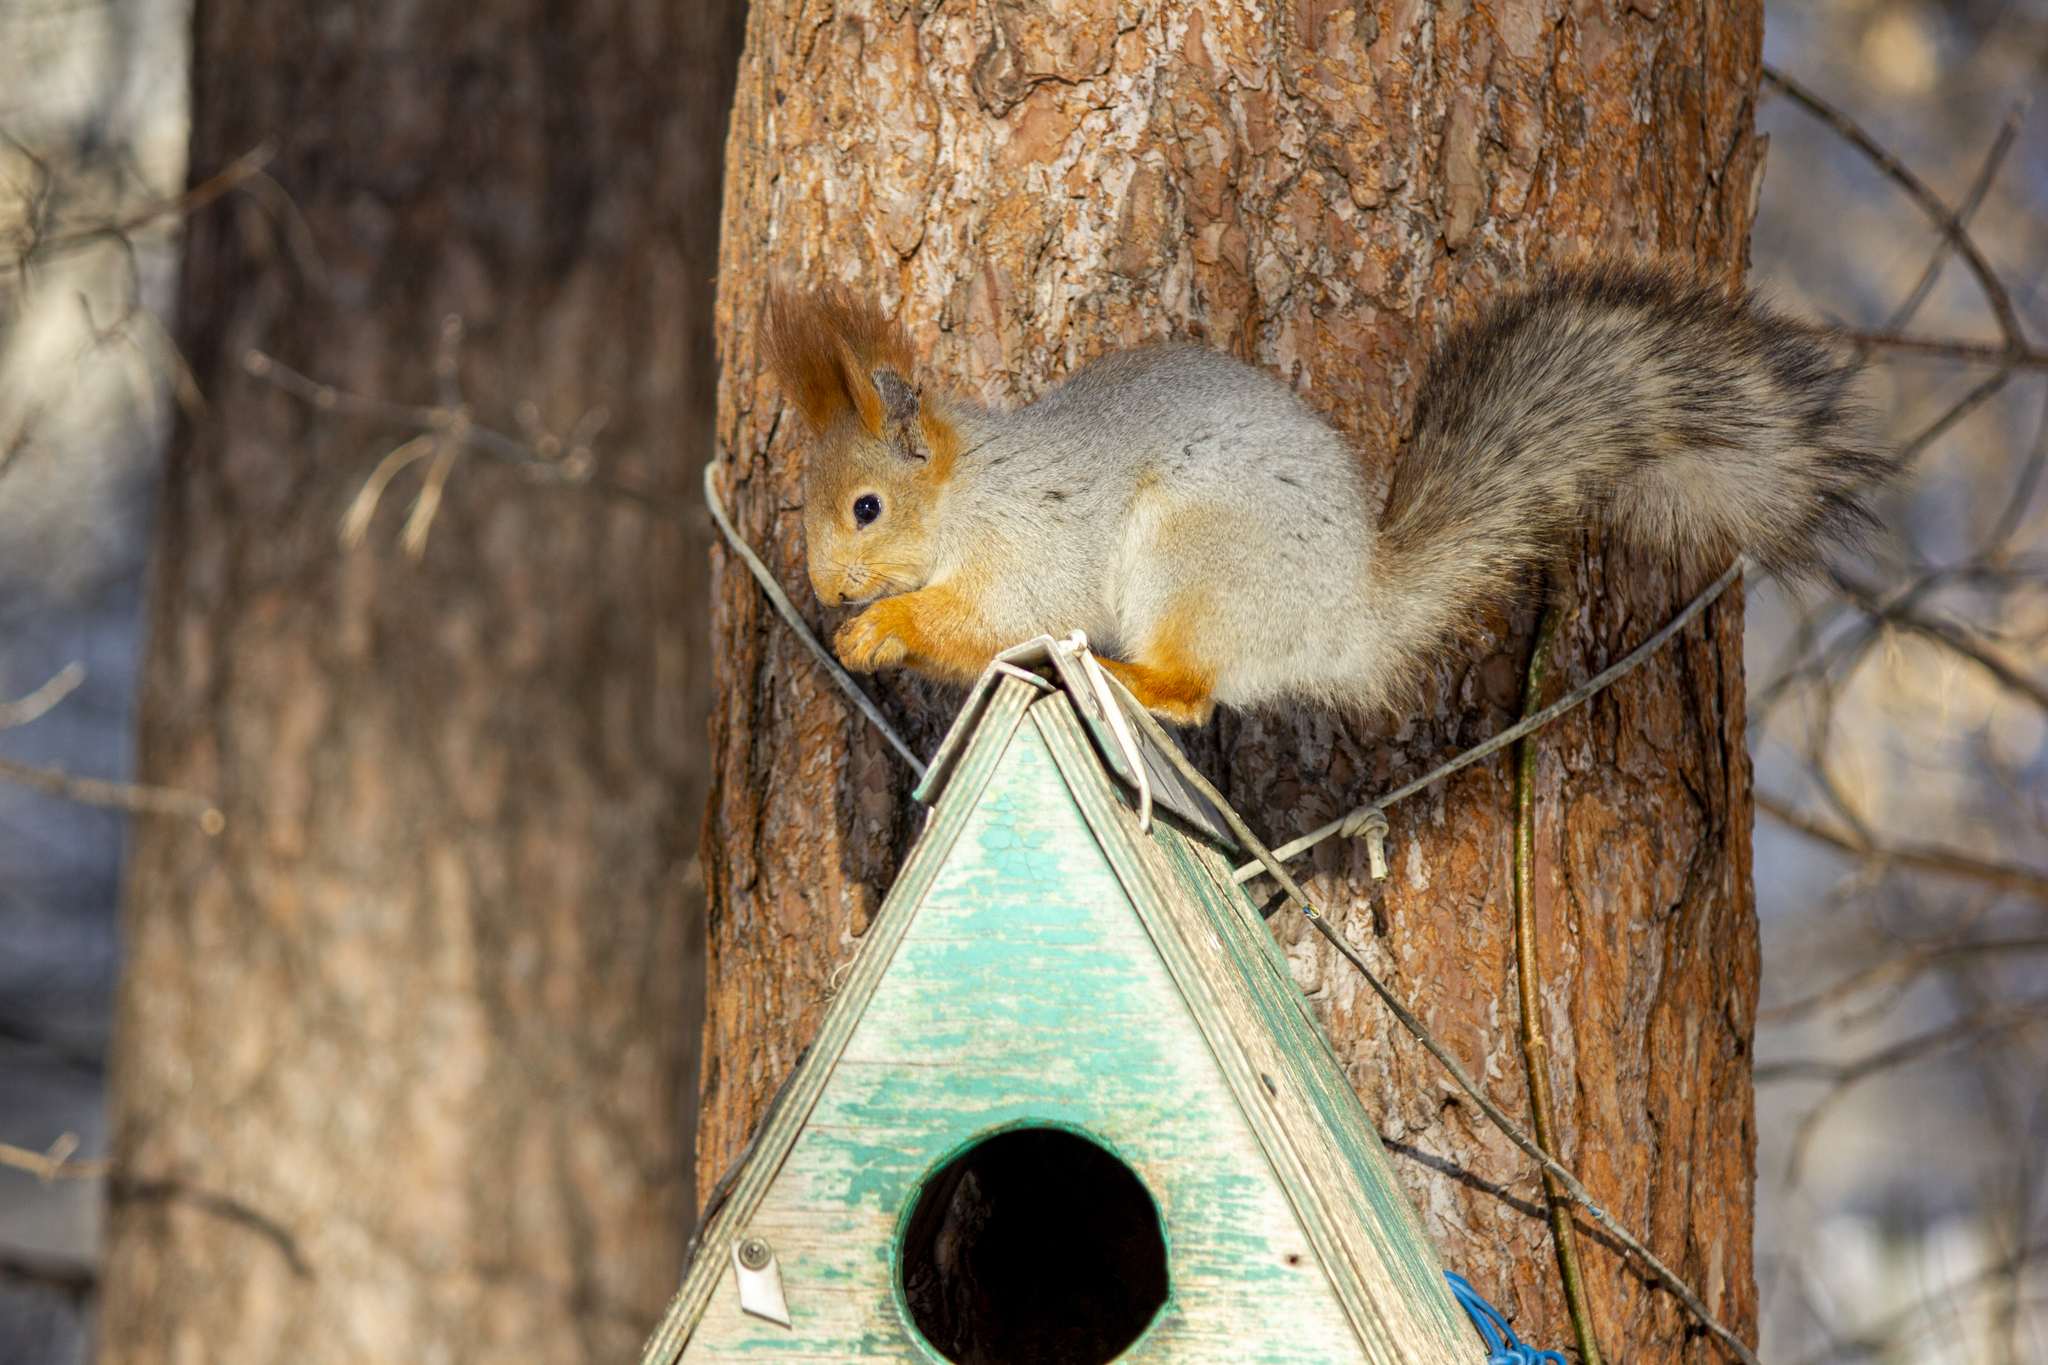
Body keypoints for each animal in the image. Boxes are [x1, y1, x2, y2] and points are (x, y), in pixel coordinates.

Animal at [761, 258, 1875, 724]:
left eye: (865, 508)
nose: (824, 590)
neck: (969, 494)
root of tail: (1349, 613)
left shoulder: (1037, 547)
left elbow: (990, 619)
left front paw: (879, 627)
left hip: (1194, 556)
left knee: (1192, 695)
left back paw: (1127, 679)